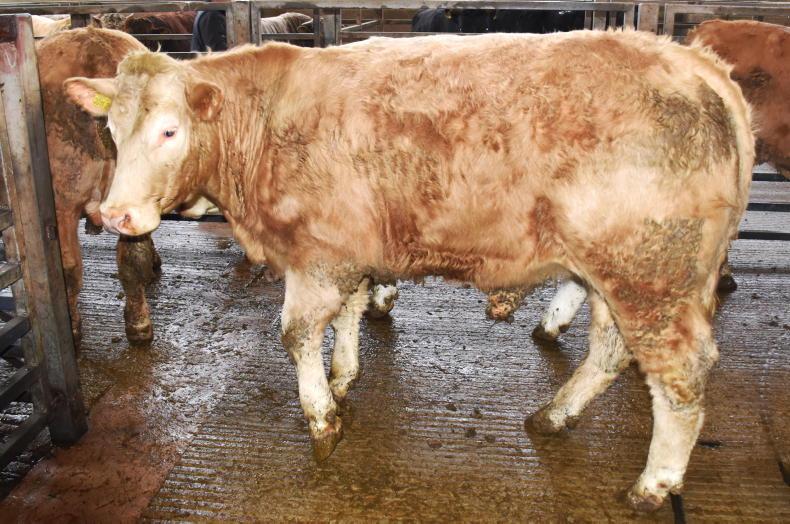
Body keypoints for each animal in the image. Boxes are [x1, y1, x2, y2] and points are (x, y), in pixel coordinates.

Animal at [65, 30, 753, 511]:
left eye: (169, 130)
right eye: (111, 129)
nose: (118, 214)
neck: (268, 122)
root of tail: (698, 66)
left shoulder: (319, 256)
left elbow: (297, 334)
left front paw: (322, 419)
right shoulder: (346, 250)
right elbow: (348, 312)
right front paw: (344, 376)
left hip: (651, 275)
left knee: (680, 376)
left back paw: (653, 484)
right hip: (617, 275)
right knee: (612, 350)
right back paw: (554, 416)